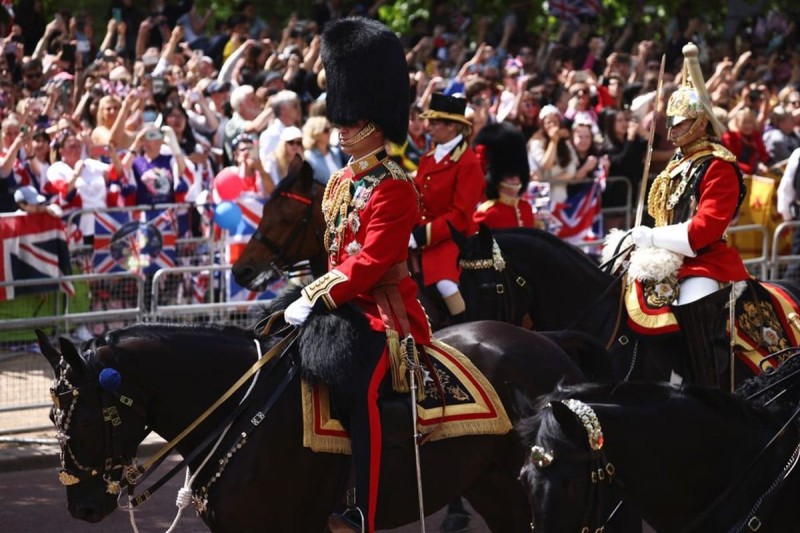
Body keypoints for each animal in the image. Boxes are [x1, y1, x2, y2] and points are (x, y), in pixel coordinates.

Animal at [36, 314, 580, 528]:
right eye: (51, 416)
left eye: (84, 421)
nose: (82, 508)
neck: (241, 412)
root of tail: (549, 344)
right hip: (495, 487)